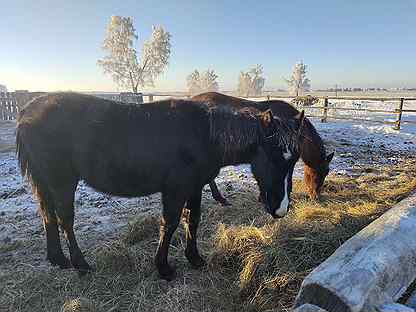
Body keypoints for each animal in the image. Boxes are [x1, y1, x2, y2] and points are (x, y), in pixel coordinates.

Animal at [17, 93, 302, 280]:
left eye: (294, 159)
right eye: (274, 156)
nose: (281, 209)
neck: (205, 135)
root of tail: (27, 112)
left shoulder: (194, 187)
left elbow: (193, 219)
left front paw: (194, 258)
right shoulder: (175, 189)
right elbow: (170, 223)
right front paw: (163, 268)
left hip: (45, 182)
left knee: (48, 216)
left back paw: (59, 260)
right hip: (62, 181)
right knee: (65, 219)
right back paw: (80, 264)